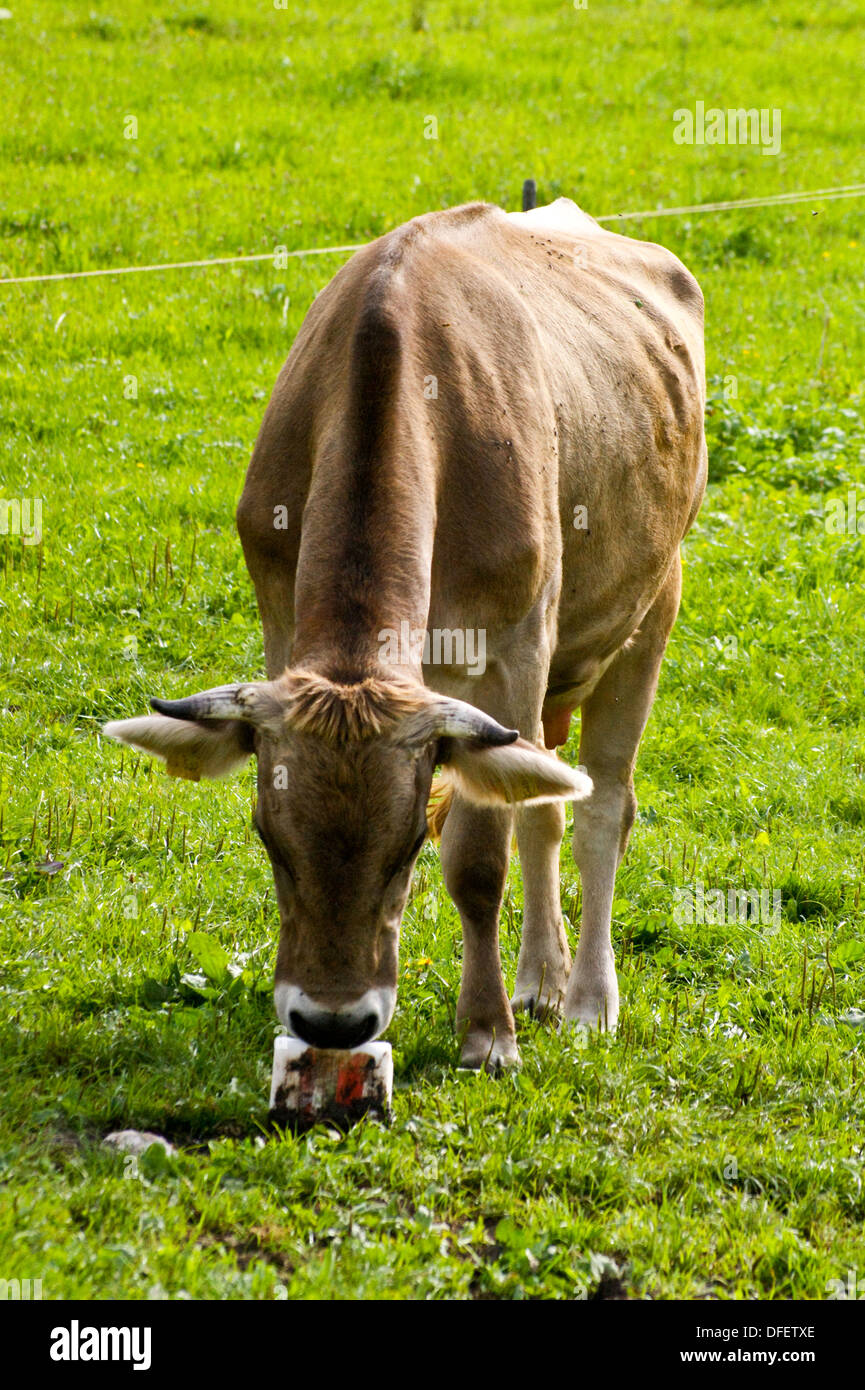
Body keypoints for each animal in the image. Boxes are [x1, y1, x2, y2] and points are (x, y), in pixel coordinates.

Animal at [104, 195, 709, 1067]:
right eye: (271, 842)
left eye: (404, 851)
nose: (332, 1022)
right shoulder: (283, 627)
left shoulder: (504, 656)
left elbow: (481, 855)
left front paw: (487, 1032)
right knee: (545, 810)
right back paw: (542, 980)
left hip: (650, 605)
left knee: (600, 809)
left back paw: (589, 999)